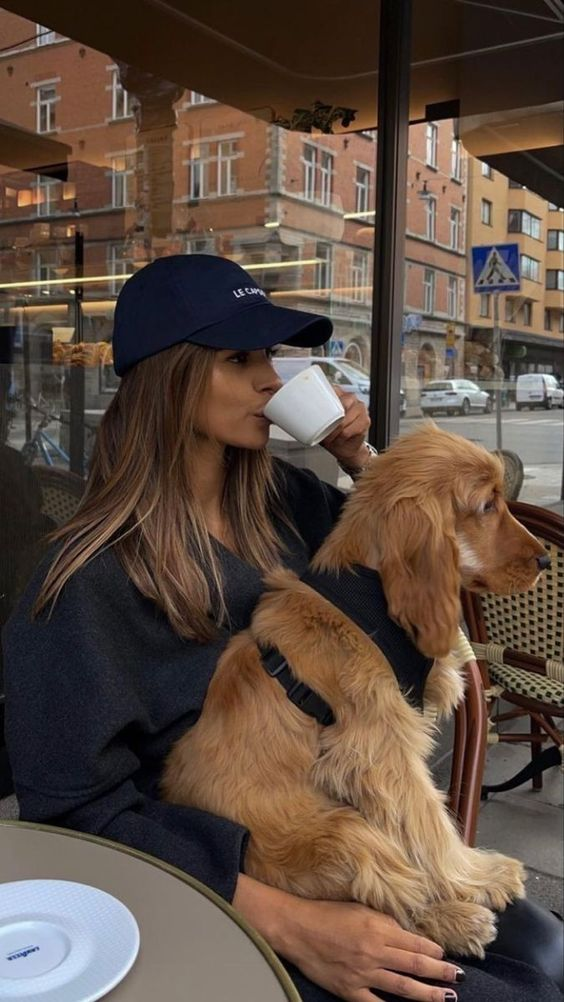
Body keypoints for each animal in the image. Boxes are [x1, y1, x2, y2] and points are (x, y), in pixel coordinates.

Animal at [162, 424, 549, 957]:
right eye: (487, 506)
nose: (547, 559)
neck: (370, 594)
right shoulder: (381, 752)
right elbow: (429, 822)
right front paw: (479, 876)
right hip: (340, 831)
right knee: (393, 896)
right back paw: (455, 920)